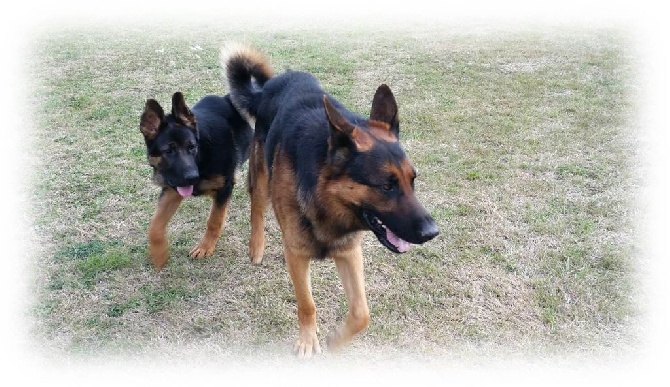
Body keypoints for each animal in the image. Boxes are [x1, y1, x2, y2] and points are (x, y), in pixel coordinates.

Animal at [139, 91, 252, 270]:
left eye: (192, 147)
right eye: (168, 151)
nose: (193, 177)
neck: (202, 155)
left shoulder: (224, 188)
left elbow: (214, 220)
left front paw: (205, 247)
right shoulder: (173, 189)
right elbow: (155, 226)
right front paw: (159, 253)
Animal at [226, 46, 440, 360]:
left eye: (412, 181)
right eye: (386, 186)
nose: (432, 232)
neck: (326, 198)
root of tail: (271, 85)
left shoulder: (349, 252)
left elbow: (362, 314)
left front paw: (336, 341)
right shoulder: (297, 255)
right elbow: (307, 304)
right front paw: (307, 341)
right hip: (262, 176)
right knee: (257, 207)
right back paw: (257, 245)